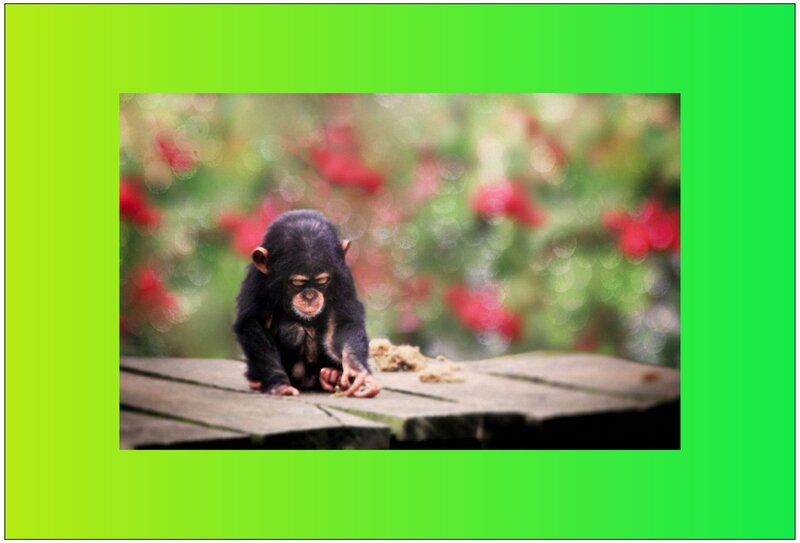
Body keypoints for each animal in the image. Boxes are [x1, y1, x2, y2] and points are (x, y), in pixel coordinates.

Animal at [233, 209, 380, 398]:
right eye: (297, 283)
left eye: (322, 280)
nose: (309, 295)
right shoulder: (258, 280)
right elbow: (253, 323)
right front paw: (278, 383)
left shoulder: (343, 276)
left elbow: (344, 320)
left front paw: (356, 369)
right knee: (293, 331)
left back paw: (331, 375)